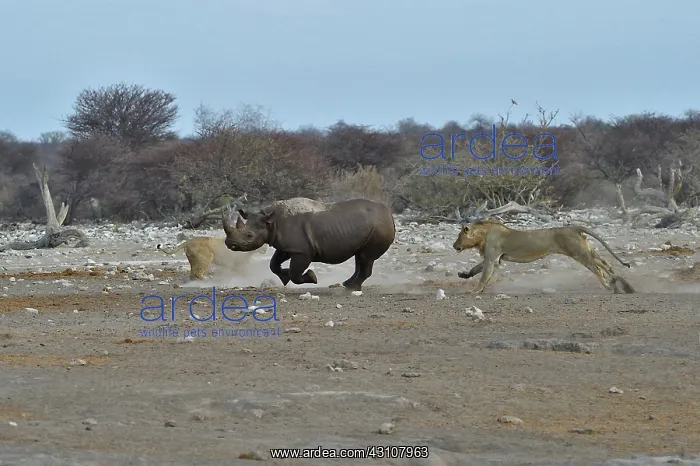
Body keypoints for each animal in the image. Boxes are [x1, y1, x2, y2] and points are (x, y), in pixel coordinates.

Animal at [222, 198, 396, 291]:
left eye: (249, 236)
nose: (230, 244)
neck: (271, 222)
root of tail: (389, 213)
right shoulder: (288, 246)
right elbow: (274, 264)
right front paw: (284, 278)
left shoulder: (302, 251)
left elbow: (295, 273)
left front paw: (312, 277)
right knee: (360, 257)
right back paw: (348, 284)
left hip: (379, 226)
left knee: (366, 258)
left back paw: (351, 288)